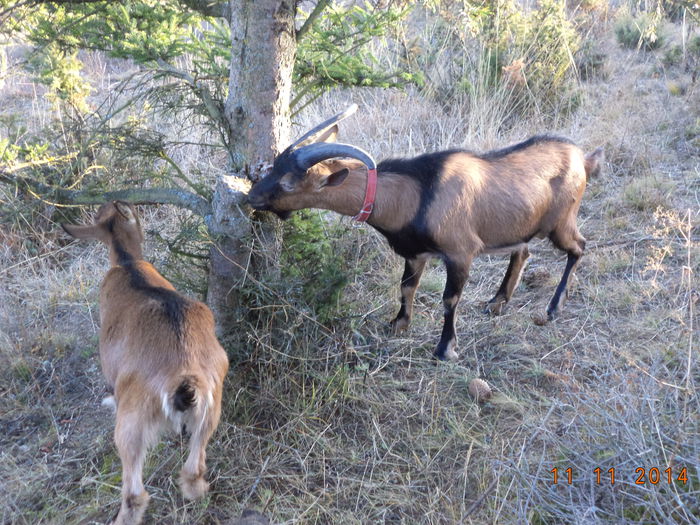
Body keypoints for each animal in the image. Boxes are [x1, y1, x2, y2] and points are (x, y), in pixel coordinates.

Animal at [61, 202, 228, 524]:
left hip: (131, 424)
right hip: (211, 409)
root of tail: (183, 377)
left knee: (134, 493)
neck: (128, 264)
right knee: (193, 472)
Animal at [249, 106, 604, 360]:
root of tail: (583, 159)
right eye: (273, 167)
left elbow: (450, 299)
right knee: (524, 251)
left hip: (561, 222)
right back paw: (496, 302)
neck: (417, 193)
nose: (251, 196)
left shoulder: (460, 252)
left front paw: (445, 349)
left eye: (288, 182)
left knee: (579, 247)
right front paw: (398, 324)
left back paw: (554, 307)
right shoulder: (415, 253)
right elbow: (406, 288)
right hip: (521, 224)